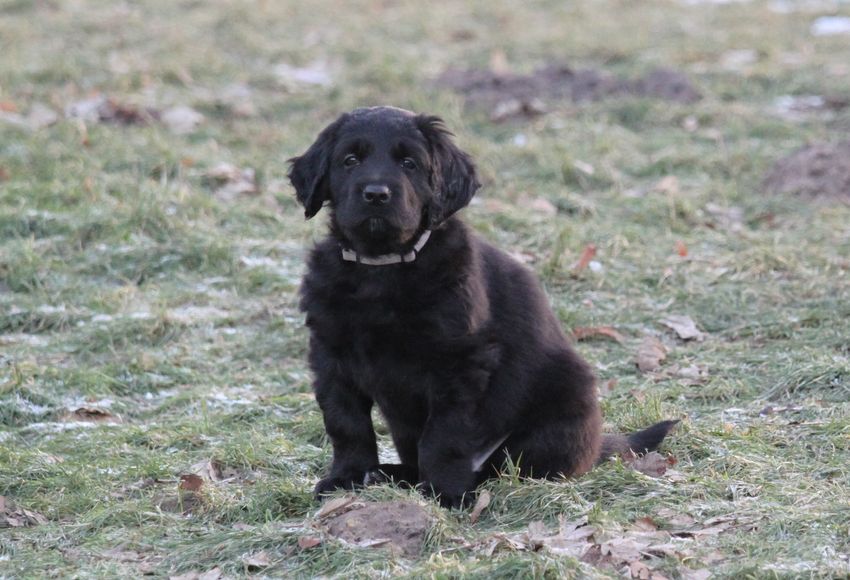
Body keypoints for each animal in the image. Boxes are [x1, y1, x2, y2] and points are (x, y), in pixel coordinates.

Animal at [289, 106, 677, 508]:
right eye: (349, 160)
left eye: (410, 163)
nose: (376, 194)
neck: (381, 268)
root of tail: (597, 443)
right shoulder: (330, 355)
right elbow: (346, 423)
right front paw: (345, 479)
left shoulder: (460, 362)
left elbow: (443, 435)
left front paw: (445, 493)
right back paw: (390, 473)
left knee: (504, 466)